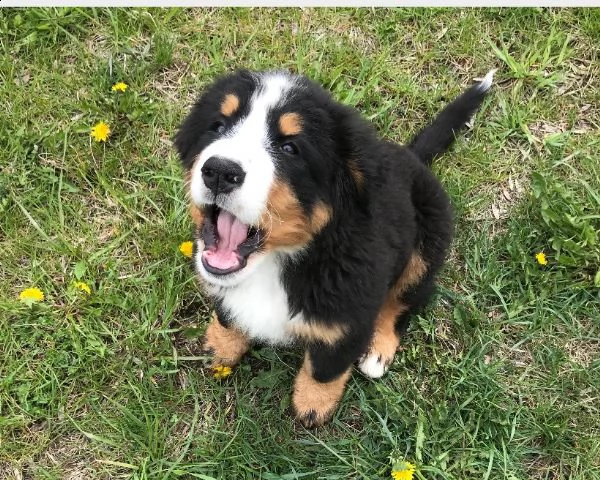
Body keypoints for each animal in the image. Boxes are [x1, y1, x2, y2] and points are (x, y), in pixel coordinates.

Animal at [173, 68, 492, 428]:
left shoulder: (349, 315)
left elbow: (324, 368)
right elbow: (228, 313)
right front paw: (220, 345)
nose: (220, 171)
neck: (276, 263)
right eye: (217, 126)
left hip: (426, 245)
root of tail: (412, 158)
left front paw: (313, 405)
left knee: (405, 300)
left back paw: (378, 350)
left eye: (290, 147)